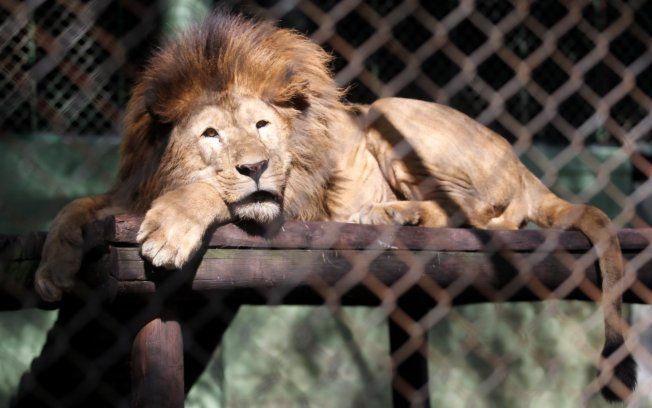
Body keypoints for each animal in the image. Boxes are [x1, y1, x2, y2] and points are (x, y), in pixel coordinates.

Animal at [33, 11, 636, 402]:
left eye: (262, 126)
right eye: (210, 134)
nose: (256, 166)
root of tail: (522, 162)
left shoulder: (285, 208)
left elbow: (210, 193)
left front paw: (171, 228)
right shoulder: (127, 191)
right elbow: (73, 207)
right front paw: (50, 270)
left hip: (390, 111)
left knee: (483, 215)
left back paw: (390, 214)